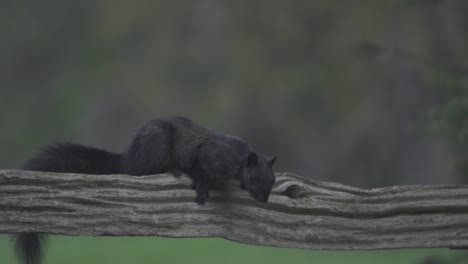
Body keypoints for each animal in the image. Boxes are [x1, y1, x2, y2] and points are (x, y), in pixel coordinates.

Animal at [11, 117, 278, 264]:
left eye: (273, 179)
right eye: (253, 177)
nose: (263, 198)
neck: (238, 159)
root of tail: (128, 157)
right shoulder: (206, 158)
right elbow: (199, 172)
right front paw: (202, 191)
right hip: (155, 146)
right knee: (137, 172)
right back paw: (170, 168)